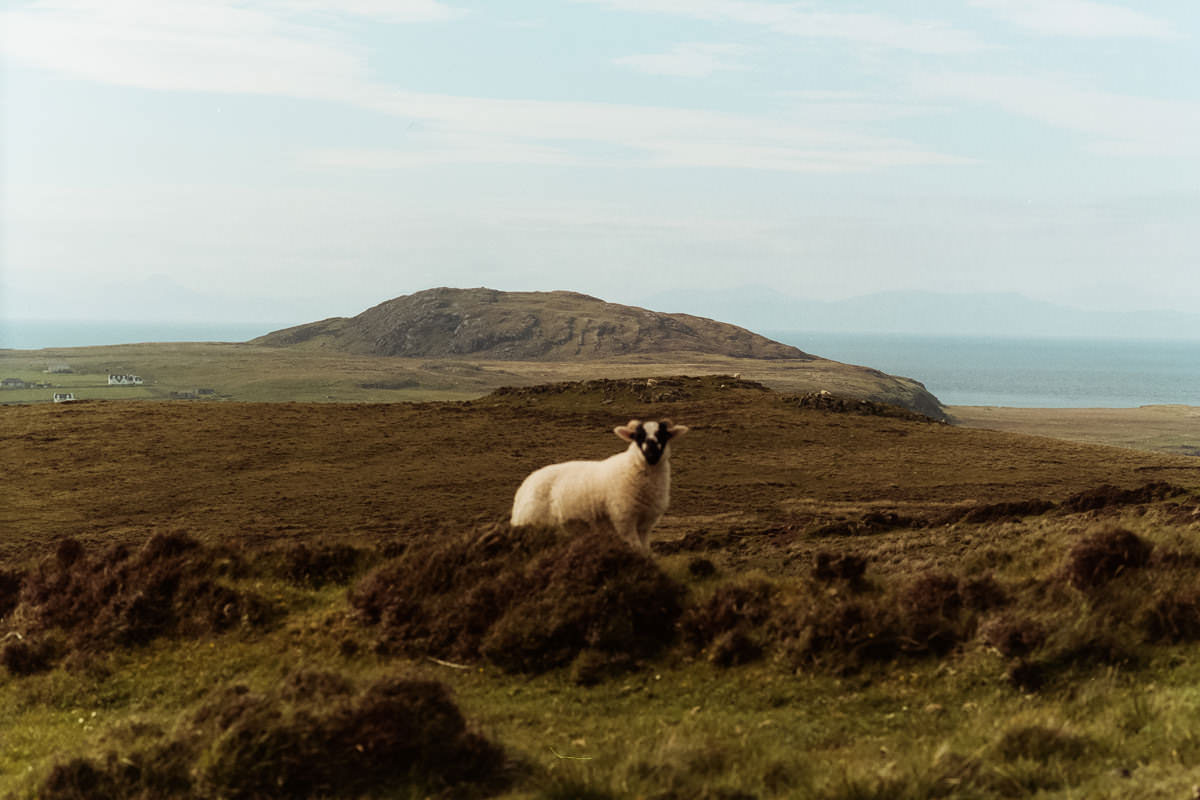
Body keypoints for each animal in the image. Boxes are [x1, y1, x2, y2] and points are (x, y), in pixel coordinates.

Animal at [511, 419, 691, 551]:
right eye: (638, 436)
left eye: (663, 435)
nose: (652, 453)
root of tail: (524, 486)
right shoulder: (624, 520)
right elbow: (636, 548)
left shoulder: (646, 524)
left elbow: (646, 550)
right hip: (530, 523)